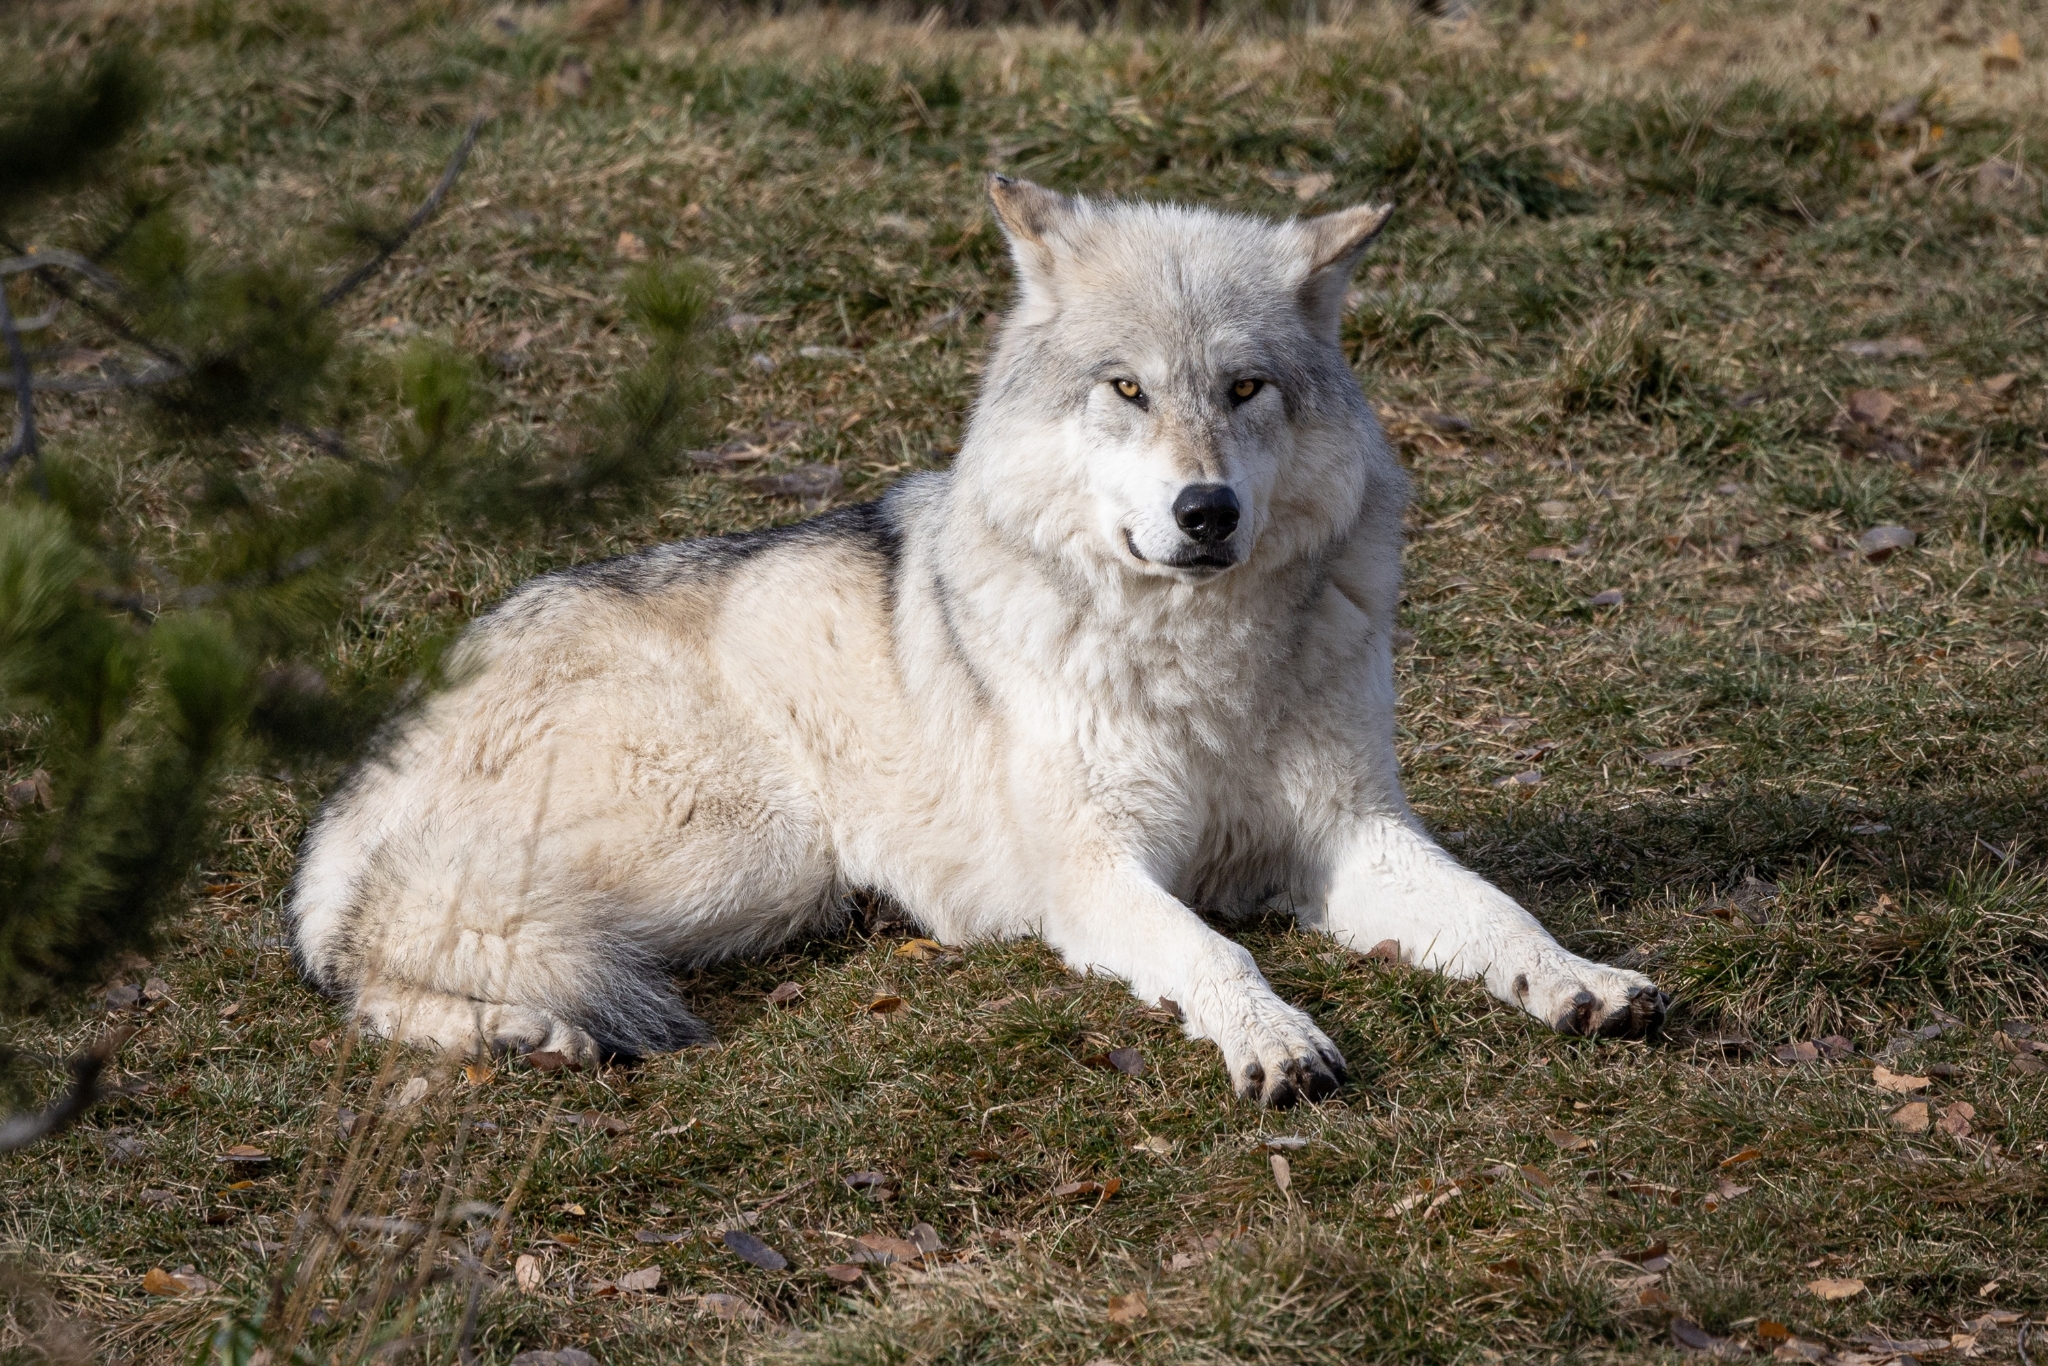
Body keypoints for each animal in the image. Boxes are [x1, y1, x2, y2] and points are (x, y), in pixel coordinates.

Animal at [289, 176, 1667, 1106]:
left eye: (1243, 389)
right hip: (753, 847)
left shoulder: (1346, 834)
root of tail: (381, 741)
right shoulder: (1095, 871)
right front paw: (1271, 1037)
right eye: (1126, 389)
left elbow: (1491, 910)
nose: (1205, 510)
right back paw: (525, 1034)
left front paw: (1579, 976)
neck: (1197, 658)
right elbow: (1209, 947)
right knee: (379, 945)